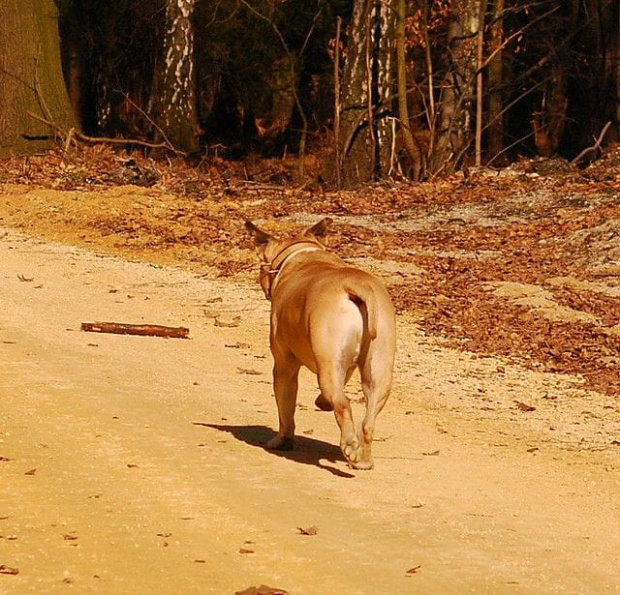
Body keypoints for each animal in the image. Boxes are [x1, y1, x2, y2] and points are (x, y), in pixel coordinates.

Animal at [245, 218, 394, 470]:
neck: (302, 257)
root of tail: (356, 287)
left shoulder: (284, 367)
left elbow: (286, 411)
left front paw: (282, 441)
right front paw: (322, 403)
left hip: (328, 368)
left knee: (342, 404)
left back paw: (350, 446)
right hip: (377, 370)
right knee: (368, 416)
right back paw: (363, 458)